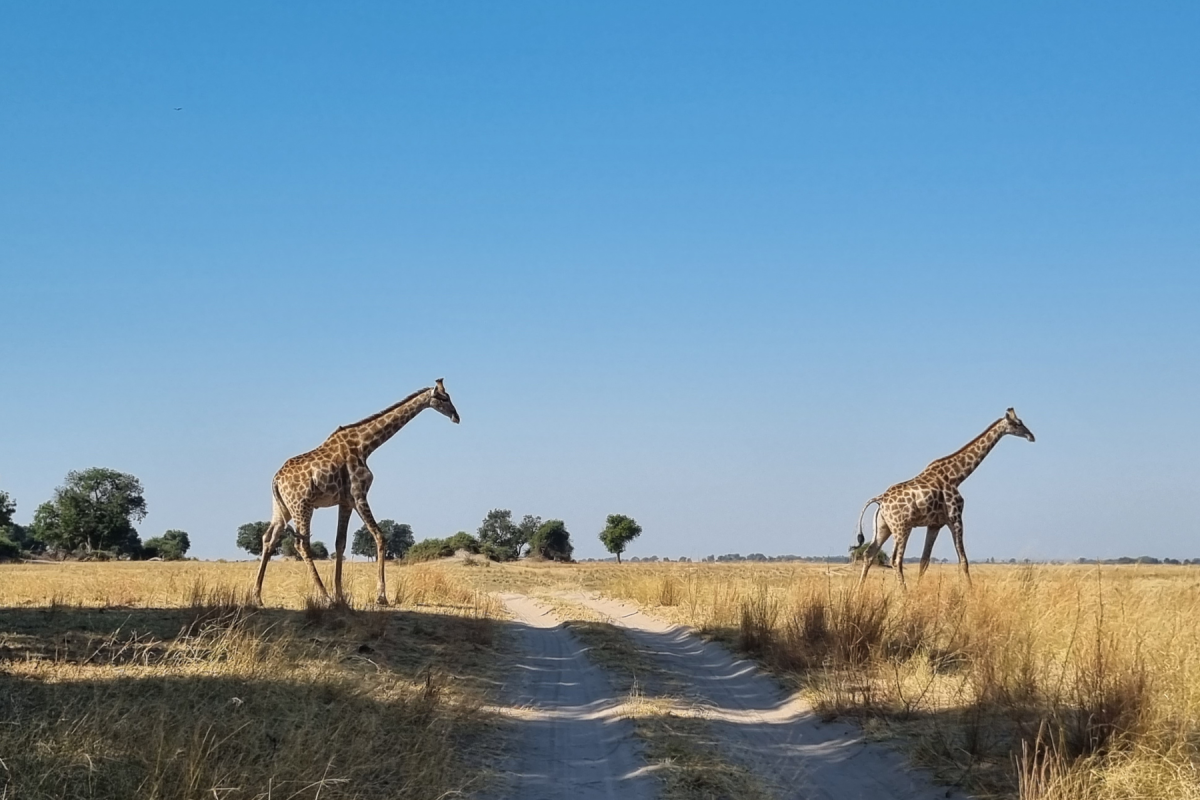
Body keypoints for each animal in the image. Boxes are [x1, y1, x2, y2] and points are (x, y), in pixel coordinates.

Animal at [250, 379, 460, 604]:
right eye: (444, 398)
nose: (456, 416)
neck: (365, 445)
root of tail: (276, 480)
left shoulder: (345, 502)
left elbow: (340, 543)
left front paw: (341, 595)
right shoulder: (359, 495)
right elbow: (379, 535)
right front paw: (381, 596)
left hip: (282, 508)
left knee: (268, 539)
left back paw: (257, 596)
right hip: (302, 506)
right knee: (301, 544)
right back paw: (324, 596)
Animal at [854, 407, 1032, 587]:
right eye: (1018, 423)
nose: (1031, 436)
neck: (957, 476)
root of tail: (880, 499)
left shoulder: (935, 524)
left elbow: (924, 561)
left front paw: (918, 589)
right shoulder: (956, 518)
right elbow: (963, 560)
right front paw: (970, 590)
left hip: (884, 527)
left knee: (869, 553)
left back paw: (859, 590)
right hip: (902, 527)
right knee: (896, 559)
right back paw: (903, 591)